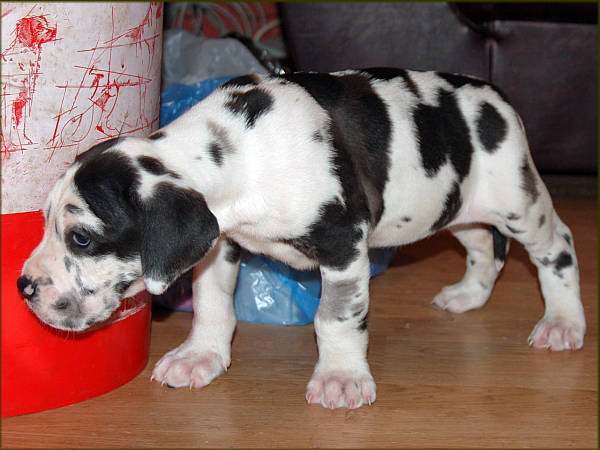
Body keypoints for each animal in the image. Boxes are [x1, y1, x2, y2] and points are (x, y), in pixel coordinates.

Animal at [18, 68, 584, 410]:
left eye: (82, 238)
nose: (24, 287)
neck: (242, 152)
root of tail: (495, 94)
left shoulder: (343, 246)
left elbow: (335, 319)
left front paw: (341, 377)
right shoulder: (219, 243)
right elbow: (211, 304)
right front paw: (201, 355)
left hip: (519, 203)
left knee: (558, 247)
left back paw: (562, 322)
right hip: (455, 205)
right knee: (483, 247)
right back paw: (469, 295)